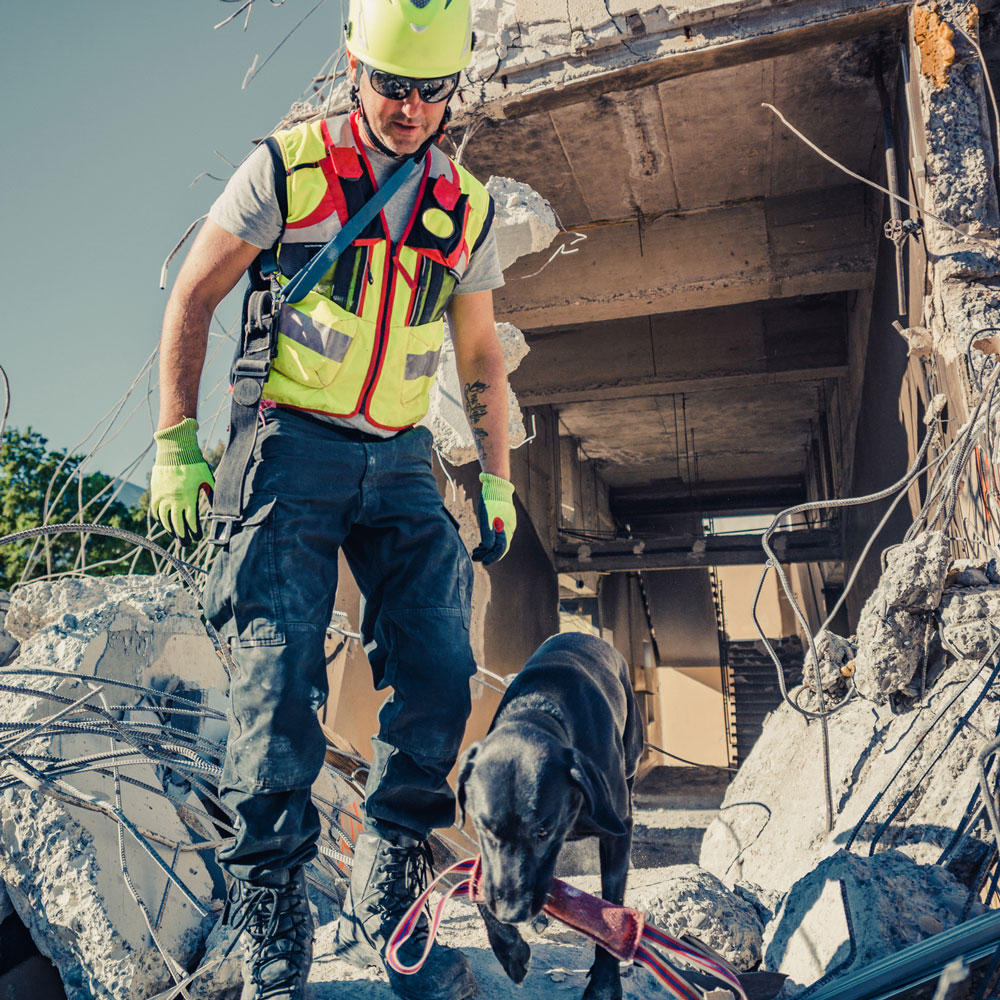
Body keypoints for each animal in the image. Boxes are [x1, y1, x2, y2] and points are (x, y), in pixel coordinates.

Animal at [458, 632, 644, 1000]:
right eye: (485, 829)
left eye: (542, 831)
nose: (513, 912)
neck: (540, 710)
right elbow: (482, 891)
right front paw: (510, 949)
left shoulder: (616, 834)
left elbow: (612, 909)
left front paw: (604, 985)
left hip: (633, 754)